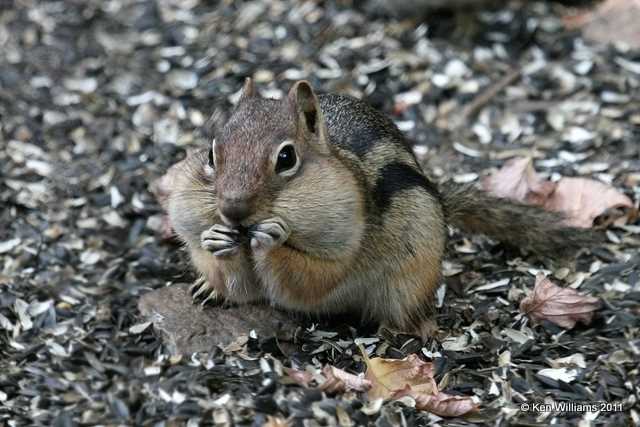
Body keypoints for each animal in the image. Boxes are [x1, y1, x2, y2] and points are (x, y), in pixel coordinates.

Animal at [164, 78, 596, 336]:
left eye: (286, 158)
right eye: (211, 155)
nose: (233, 210)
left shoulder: (340, 247)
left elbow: (313, 278)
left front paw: (274, 238)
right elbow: (236, 280)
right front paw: (216, 241)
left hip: (409, 277)